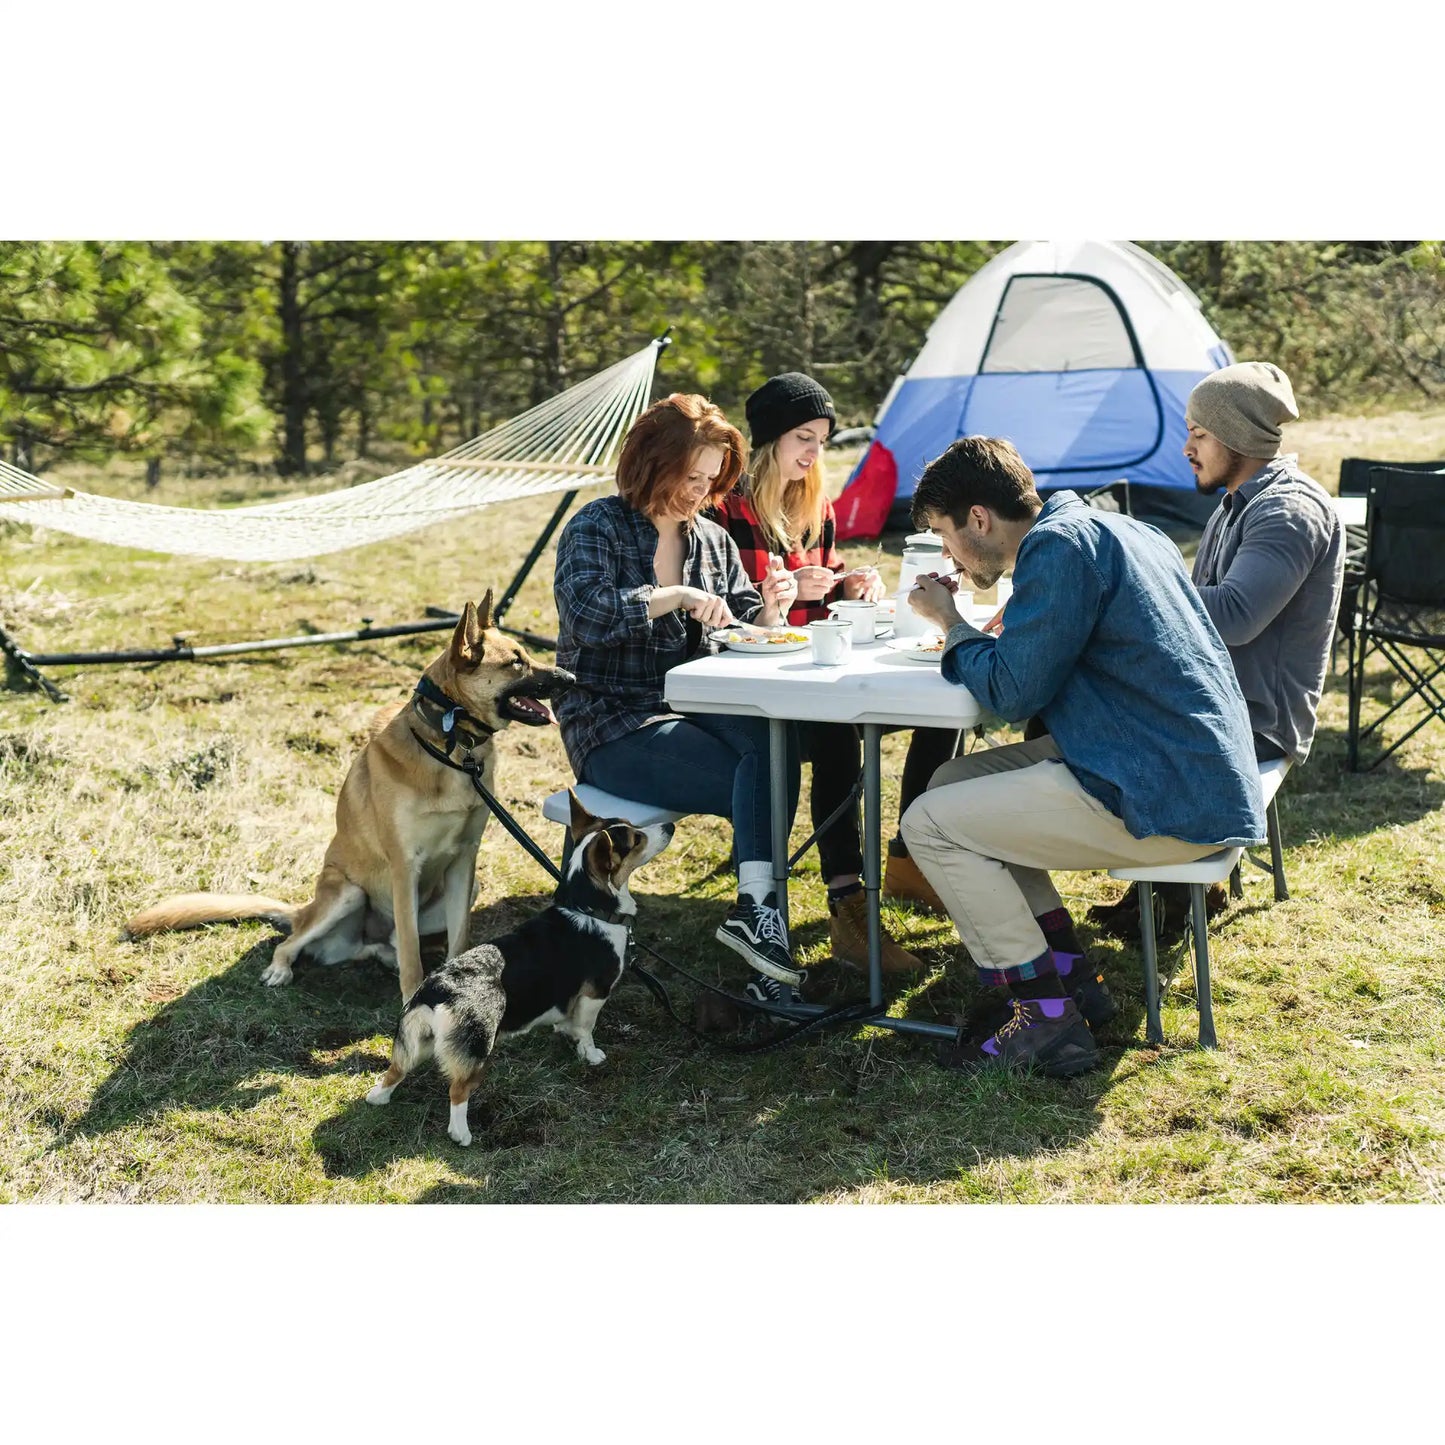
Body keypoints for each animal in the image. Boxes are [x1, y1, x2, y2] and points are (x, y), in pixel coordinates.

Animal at [124, 592, 572, 999]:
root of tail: (303, 909)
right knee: (294, 943)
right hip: (347, 892)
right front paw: (412, 998)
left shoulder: (464, 862)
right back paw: (282, 969)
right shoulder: (404, 867)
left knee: (384, 945)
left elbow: (458, 938)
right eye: (516, 662)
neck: (451, 749)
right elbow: (412, 953)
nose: (570, 679)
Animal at [364, 797, 673, 1144]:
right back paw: (462, 1134)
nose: (670, 826)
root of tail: (437, 990)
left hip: (412, 1042)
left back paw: (379, 1097)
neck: (589, 907)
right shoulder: (596, 993)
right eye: (636, 839)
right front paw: (591, 1055)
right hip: (479, 1051)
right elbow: (586, 1029)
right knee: (458, 1090)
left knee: (395, 1070)